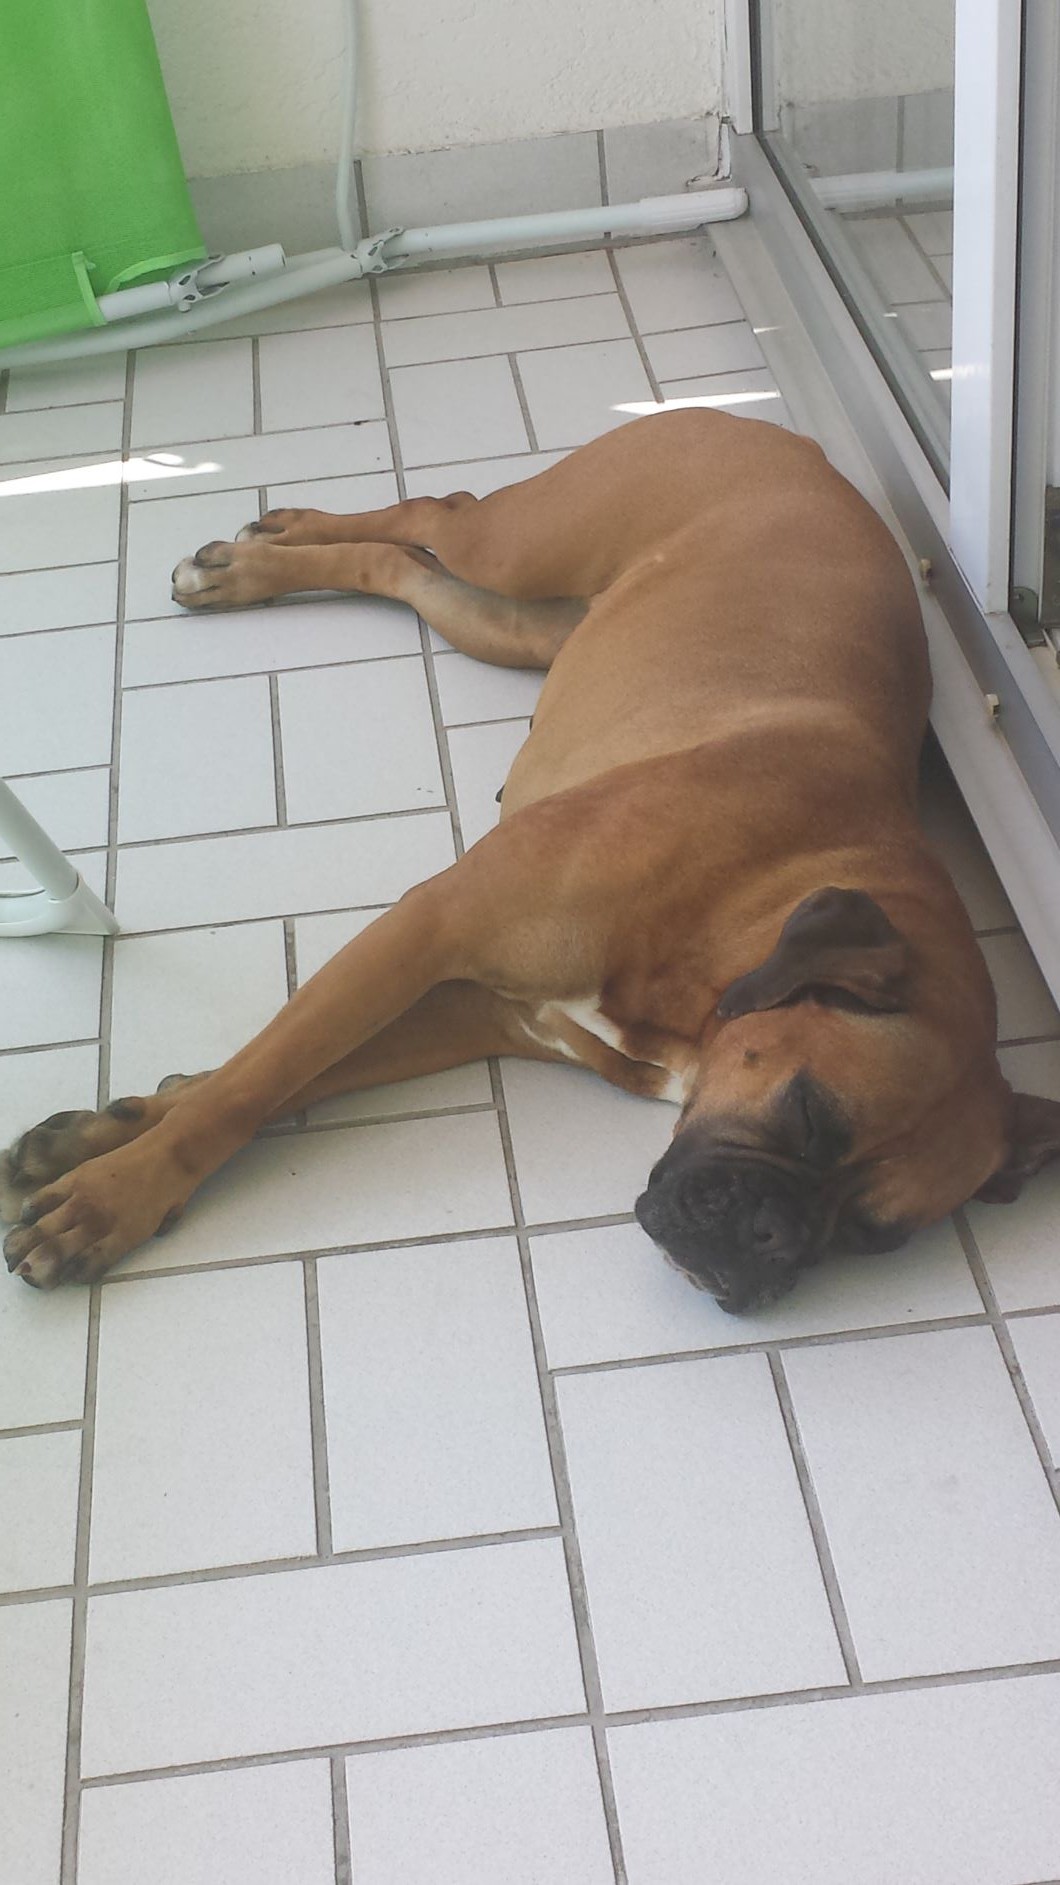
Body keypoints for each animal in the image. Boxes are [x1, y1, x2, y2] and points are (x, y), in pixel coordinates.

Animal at [3, 409, 1058, 1309]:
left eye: (877, 1237)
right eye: (808, 1113)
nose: (777, 1238)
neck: (746, 912)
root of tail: (790, 438)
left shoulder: (476, 1006)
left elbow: (271, 1077)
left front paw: (107, 1132)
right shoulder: (425, 933)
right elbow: (251, 1085)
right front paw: (113, 1199)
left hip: (516, 626)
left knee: (407, 567)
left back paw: (249, 565)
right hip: (523, 546)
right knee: (439, 514)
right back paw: (270, 542)